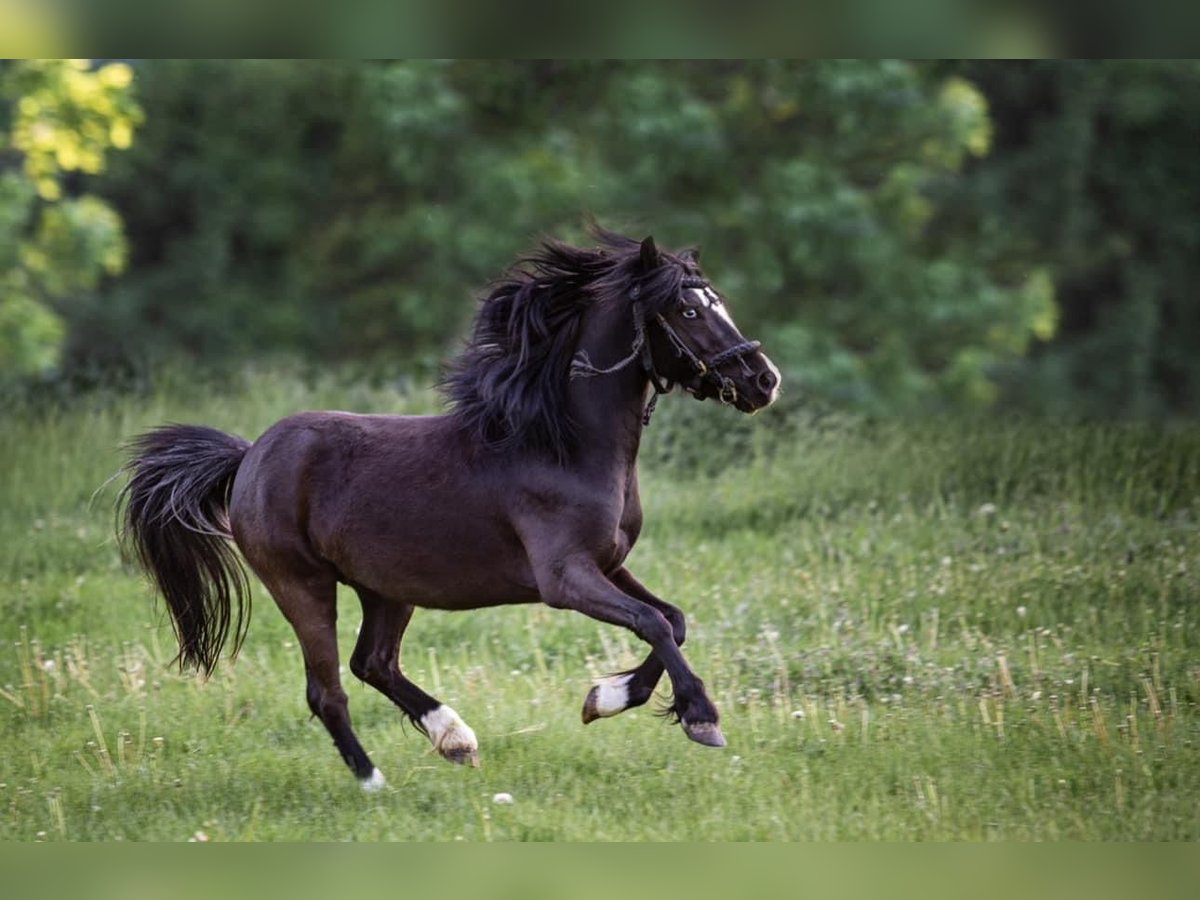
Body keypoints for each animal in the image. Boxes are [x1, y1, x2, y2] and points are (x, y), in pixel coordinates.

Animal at [117, 229, 782, 792]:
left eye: (716, 302)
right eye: (689, 311)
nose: (763, 380)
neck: (559, 444)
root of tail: (249, 455)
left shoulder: (609, 564)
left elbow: (672, 618)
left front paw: (605, 697)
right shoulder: (564, 578)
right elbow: (652, 623)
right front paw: (701, 718)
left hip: (387, 589)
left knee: (373, 663)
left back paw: (455, 738)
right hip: (301, 585)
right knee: (328, 690)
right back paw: (375, 783)